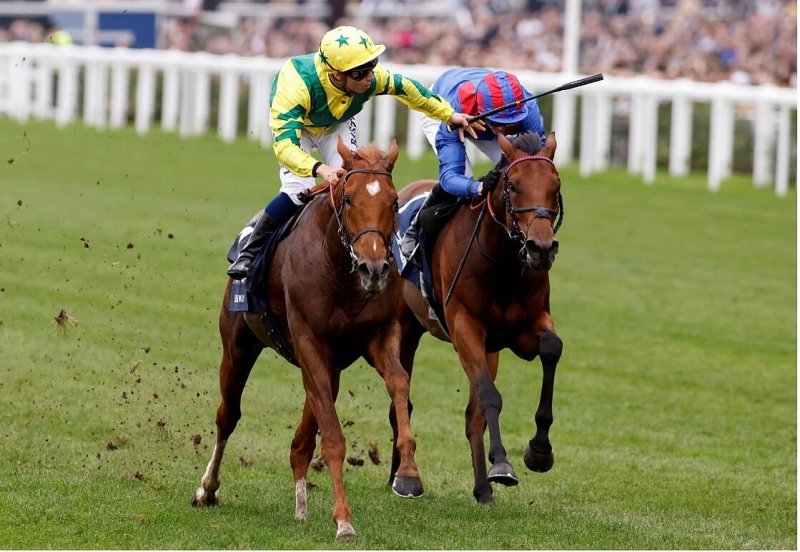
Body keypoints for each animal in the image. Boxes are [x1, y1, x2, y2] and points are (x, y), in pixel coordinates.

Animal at [193, 138, 423, 540]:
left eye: (395, 201)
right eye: (349, 199)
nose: (374, 269)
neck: (341, 270)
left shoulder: (378, 336)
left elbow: (398, 382)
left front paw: (407, 474)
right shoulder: (309, 343)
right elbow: (332, 438)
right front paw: (344, 519)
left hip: (330, 368)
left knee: (301, 440)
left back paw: (301, 505)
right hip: (238, 346)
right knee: (227, 417)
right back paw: (208, 488)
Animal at [394, 131, 564, 504]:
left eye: (556, 185)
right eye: (513, 186)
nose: (541, 248)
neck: (502, 264)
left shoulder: (524, 329)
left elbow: (551, 349)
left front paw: (539, 451)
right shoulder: (464, 327)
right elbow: (490, 397)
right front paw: (501, 462)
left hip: (489, 349)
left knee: (472, 417)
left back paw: (482, 489)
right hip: (403, 328)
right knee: (400, 396)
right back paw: (404, 478)